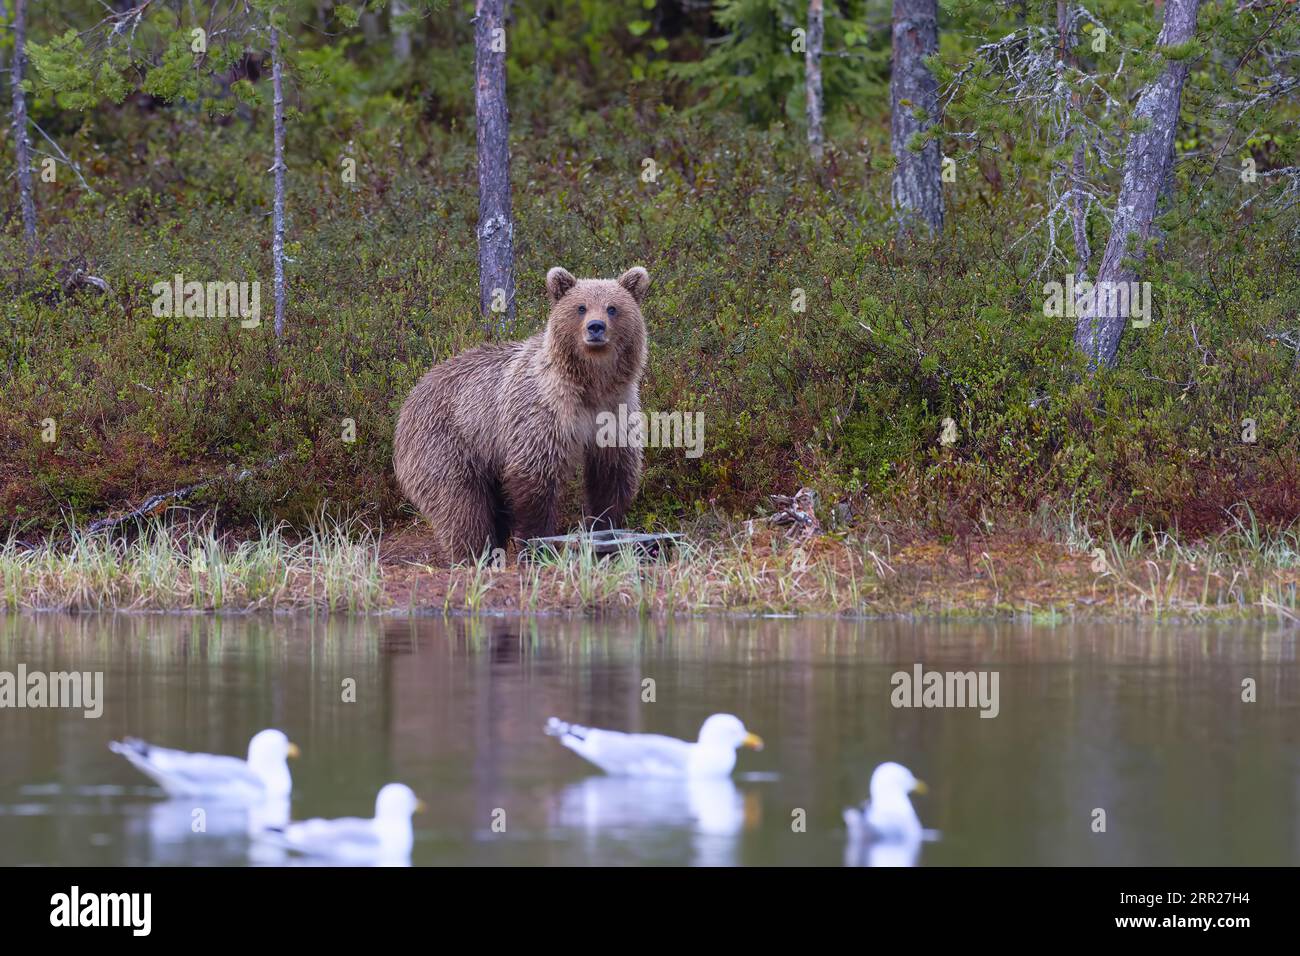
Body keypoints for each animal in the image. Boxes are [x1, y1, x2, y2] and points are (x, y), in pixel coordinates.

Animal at [387, 265, 647, 564]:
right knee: (460, 504)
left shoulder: (615, 411)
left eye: (612, 308)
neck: (590, 386)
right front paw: (538, 545)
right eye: (581, 307)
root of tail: (412, 394)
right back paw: (476, 555)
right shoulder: (540, 414)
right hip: (446, 442)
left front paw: (606, 529)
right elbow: (535, 479)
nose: (596, 327)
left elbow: (612, 475)